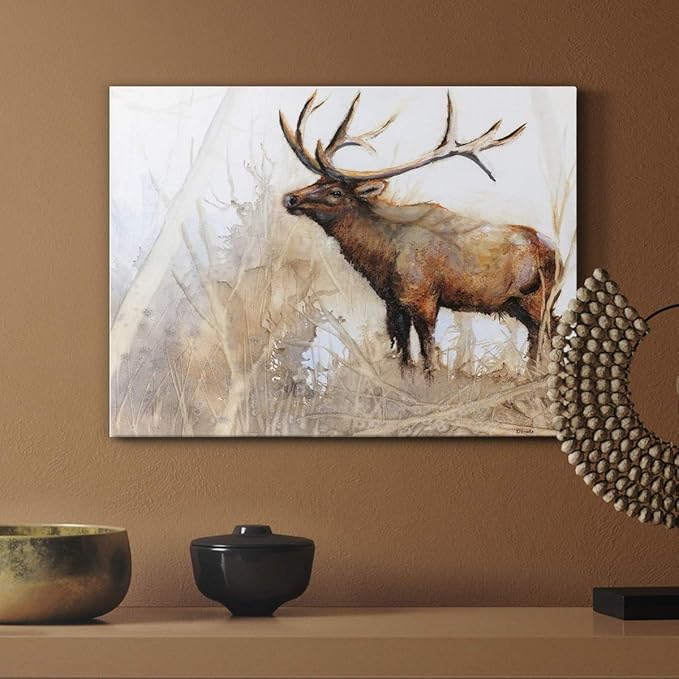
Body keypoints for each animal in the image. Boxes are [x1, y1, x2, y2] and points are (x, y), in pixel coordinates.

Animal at [279, 90, 557, 377]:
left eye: (336, 192)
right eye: (317, 181)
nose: (290, 198)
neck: (380, 258)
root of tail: (554, 252)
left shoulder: (423, 296)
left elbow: (428, 354)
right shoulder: (393, 302)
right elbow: (404, 354)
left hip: (536, 296)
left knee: (544, 331)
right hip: (518, 303)